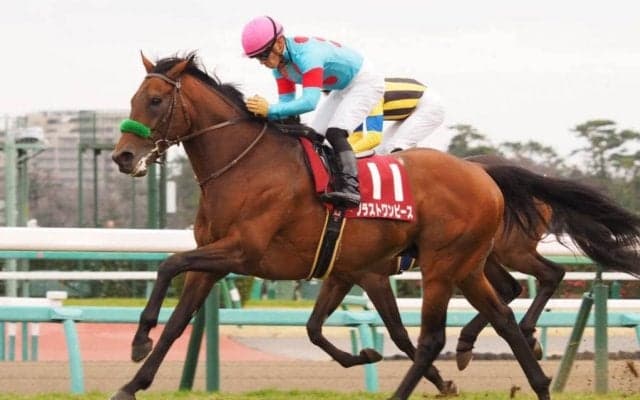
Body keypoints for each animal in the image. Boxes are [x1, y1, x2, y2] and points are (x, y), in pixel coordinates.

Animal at [110, 52, 551, 400]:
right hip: (468, 265)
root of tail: (484, 177)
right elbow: (179, 323)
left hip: (444, 265)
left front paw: (139, 337)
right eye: (132, 100)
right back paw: (534, 378)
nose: (123, 156)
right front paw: (131, 383)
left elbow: (169, 262)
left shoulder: (244, 251)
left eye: (155, 100)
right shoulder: (230, 261)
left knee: (434, 337)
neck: (246, 166)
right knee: (503, 317)